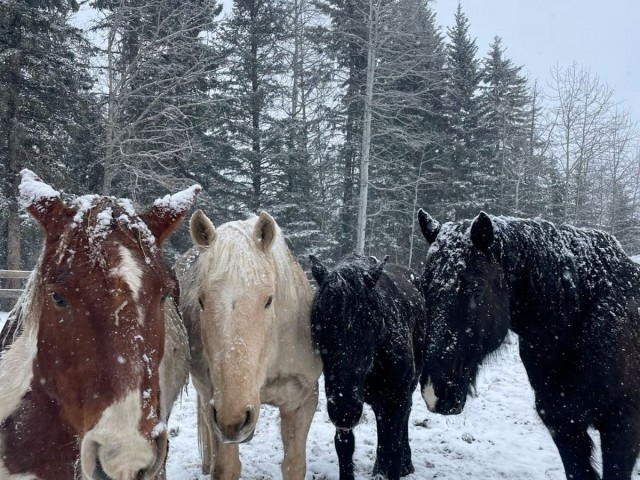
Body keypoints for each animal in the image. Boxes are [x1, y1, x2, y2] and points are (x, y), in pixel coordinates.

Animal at [175, 210, 322, 480]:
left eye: (268, 300)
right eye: (201, 301)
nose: (234, 419)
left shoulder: (302, 401)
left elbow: (294, 465)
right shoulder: (219, 408)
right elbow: (226, 468)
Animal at [308, 255, 424, 480]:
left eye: (372, 323)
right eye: (317, 325)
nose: (345, 411)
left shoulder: (398, 397)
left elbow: (394, 448)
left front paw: (397, 466)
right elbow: (345, 449)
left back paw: (406, 464)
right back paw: (379, 466)